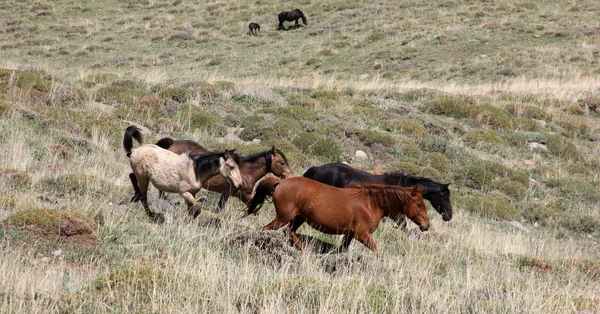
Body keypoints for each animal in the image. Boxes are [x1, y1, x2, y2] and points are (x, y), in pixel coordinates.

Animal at [156, 136, 294, 210]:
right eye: (282, 163)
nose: (290, 177)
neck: (246, 173)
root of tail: (173, 142)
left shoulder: (227, 194)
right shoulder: (240, 194)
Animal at [246, 177, 428, 258]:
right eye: (419, 204)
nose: (427, 225)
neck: (371, 203)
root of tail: (281, 182)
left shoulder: (349, 234)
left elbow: (341, 250)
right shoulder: (362, 234)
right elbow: (378, 252)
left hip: (298, 218)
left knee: (289, 233)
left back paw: (304, 252)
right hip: (283, 218)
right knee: (266, 229)